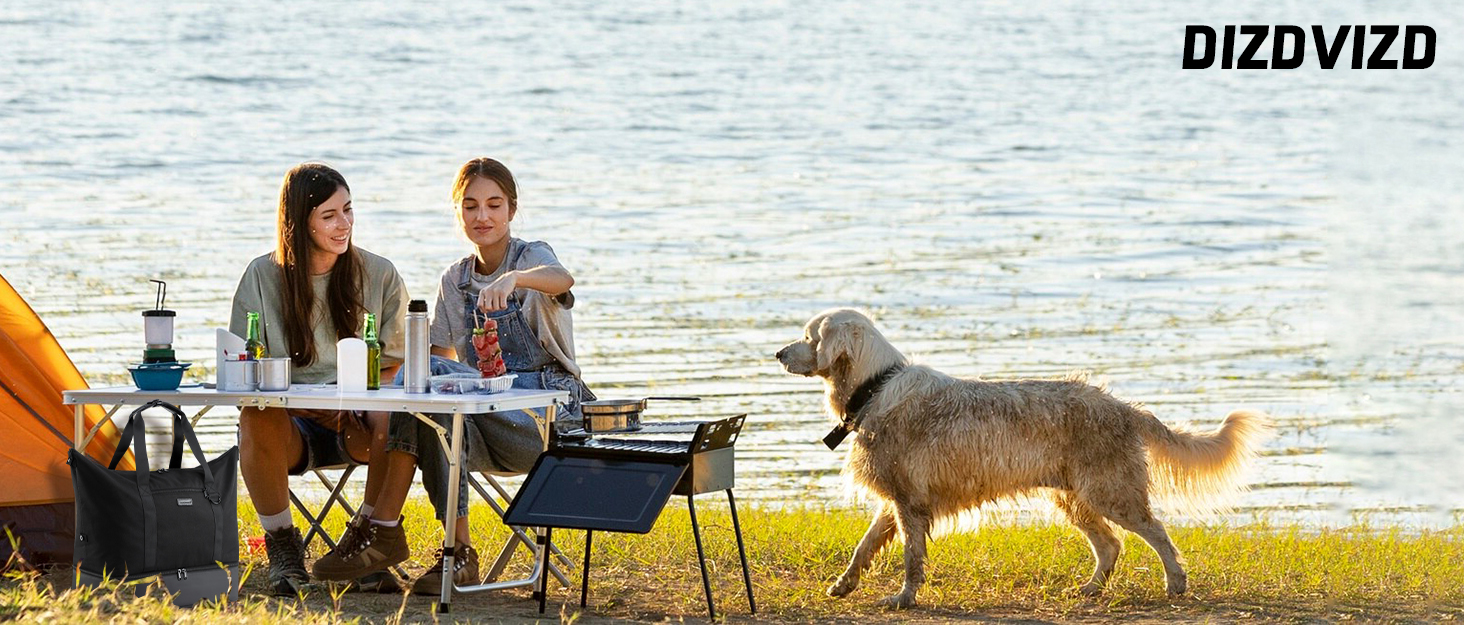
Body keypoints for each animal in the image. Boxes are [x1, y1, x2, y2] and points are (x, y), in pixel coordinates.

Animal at [778, 310, 1270, 608]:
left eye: (808, 336)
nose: (778, 352)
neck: (873, 386)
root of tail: (1125, 407)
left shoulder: (908, 503)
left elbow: (911, 558)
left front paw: (904, 598)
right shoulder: (896, 501)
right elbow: (863, 548)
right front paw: (843, 585)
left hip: (1111, 492)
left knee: (1158, 534)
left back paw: (1175, 583)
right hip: (1074, 499)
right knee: (1111, 545)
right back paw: (1090, 589)